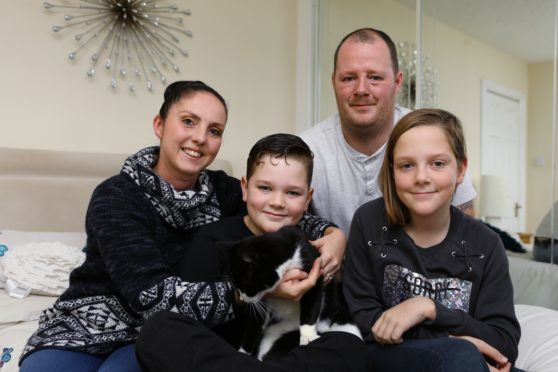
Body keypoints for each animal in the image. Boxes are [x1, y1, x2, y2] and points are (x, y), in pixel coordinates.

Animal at [224, 224, 364, 360]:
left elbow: (311, 304)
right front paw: (243, 353)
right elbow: (254, 322)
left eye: (240, 285)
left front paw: (307, 336)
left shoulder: (313, 270)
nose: (241, 298)